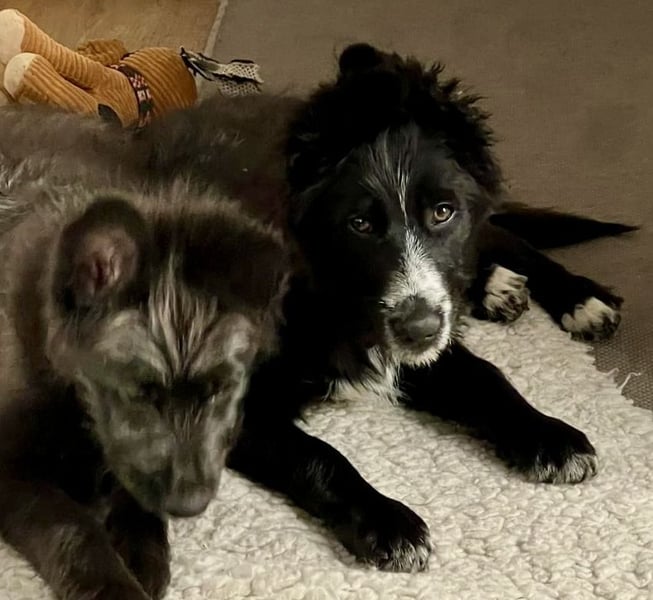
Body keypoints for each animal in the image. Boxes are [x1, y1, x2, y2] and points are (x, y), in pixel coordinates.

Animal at [0, 109, 289, 599]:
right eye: (136, 393)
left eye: (221, 390)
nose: (190, 507)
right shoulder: (9, 467)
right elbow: (70, 526)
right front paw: (113, 582)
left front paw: (141, 549)